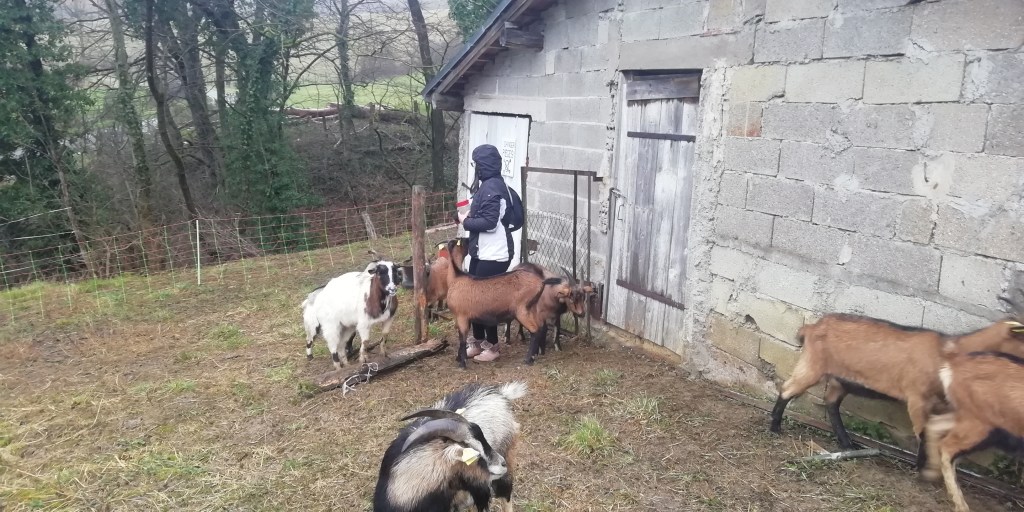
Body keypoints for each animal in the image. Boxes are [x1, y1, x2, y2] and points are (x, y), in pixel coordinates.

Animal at [769, 311, 1024, 470]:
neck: (949, 351)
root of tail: (811, 327)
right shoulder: (917, 397)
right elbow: (923, 432)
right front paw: (920, 468)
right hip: (813, 365)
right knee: (788, 389)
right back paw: (775, 427)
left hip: (841, 380)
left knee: (831, 402)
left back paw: (848, 444)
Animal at [923, 336, 1024, 512]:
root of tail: (954, 362)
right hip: (979, 424)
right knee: (947, 446)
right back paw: (961, 505)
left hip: (968, 417)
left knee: (935, 424)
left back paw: (931, 474)